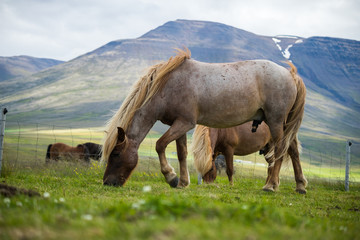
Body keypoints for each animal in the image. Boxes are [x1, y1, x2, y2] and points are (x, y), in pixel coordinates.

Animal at [101, 47, 306, 189]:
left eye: (116, 153)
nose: (107, 182)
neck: (167, 85)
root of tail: (291, 75)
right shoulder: (179, 124)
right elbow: (181, 152)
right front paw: (182, 182)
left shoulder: (184, 123)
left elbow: (160, 144)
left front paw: (171, 177)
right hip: (283, 124)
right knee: (293, 150)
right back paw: (299, 186)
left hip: (275, 121)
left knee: (280, 150)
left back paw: (270, 186)